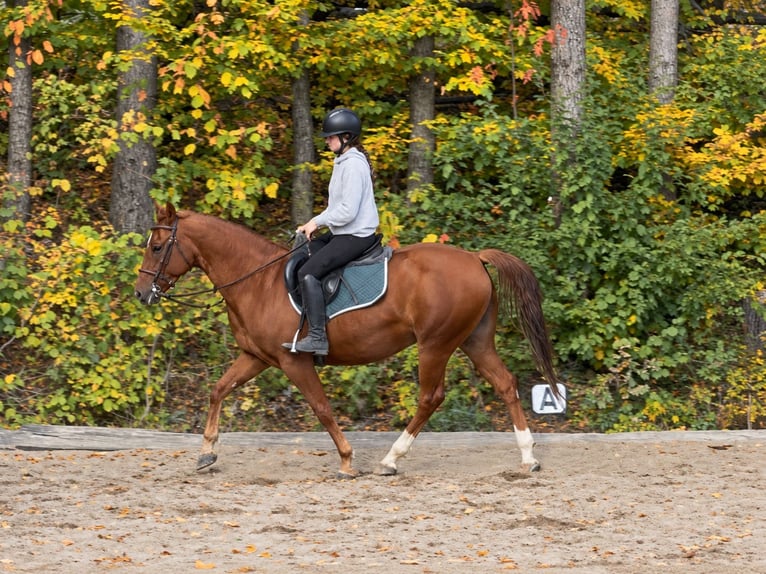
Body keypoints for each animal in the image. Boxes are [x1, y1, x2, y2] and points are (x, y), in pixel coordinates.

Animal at [134, 202, 561, 476]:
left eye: (157, 247)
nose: (141, 293)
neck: (258, 281)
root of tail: (474, 258)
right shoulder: (255, 357)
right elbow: (218, 390)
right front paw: (207, 453)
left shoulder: (293, 361)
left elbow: (321, 408)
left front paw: (346, 459)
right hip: (474, 341)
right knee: (505, 383)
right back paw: (528, 458)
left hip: (435, 345)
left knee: (430, 397)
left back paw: (390, 460)